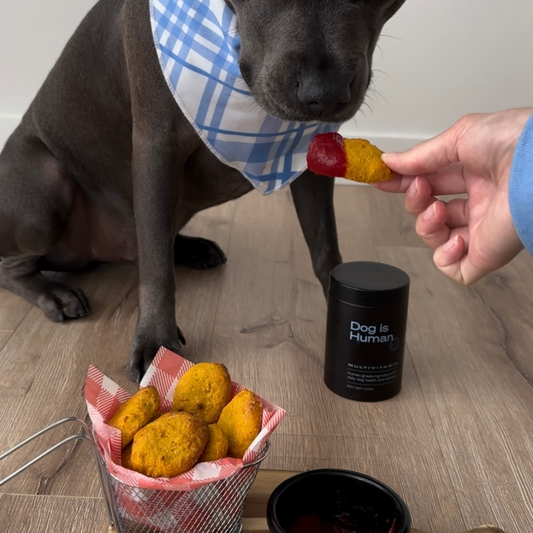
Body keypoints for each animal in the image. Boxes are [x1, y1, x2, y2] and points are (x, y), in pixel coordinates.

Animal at [0, 1, 404, 382]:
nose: (325, 95)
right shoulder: (156, 144)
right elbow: (157, 268)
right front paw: (156, 342)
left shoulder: (313, 151)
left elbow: (325, 248)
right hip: (45, 189)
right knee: (17, 266)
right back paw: (53, 292)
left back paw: (191, 248)